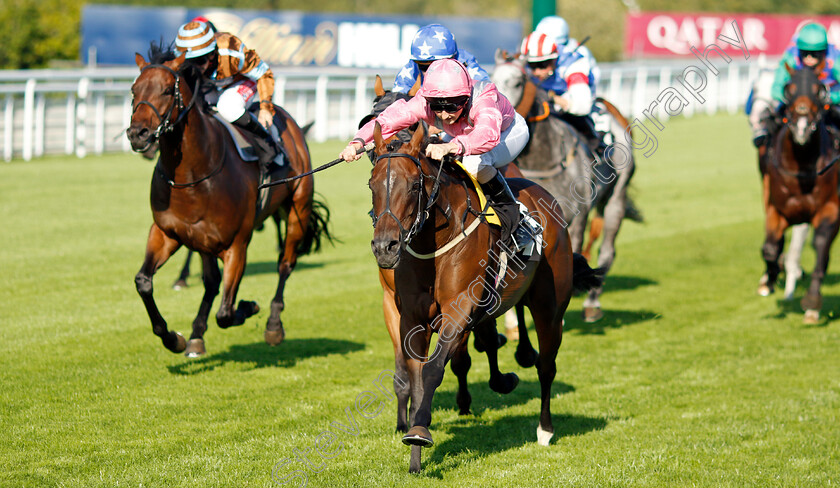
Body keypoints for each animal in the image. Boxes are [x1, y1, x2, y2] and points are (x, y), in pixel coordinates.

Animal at [128, 43, 332, 356]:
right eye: (133, 90)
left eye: (165, 90)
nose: (137, 133)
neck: (194, 175)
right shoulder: (167, 233)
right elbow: (144, 282)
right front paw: (175, 338)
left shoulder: (236, 244)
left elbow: (226, 312)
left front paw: (249, 307)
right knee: (212, 283)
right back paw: (196, 335)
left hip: (298, 209)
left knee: (285, 264)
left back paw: (273, 324)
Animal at [370, 120, 604, 470]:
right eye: (372, 184)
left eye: (413, 185)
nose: (385, 247)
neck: (435, 243)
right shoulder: (411, 318)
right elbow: (416, 377)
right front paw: (414, 451)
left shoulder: (458, 311)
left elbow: (433, 369)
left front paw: (420, 433)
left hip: (550, 308)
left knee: (546, 366)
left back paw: (545, 429)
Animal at [488, 50, 640, 324]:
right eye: (492, 79)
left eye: (517, 82)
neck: (544, 159)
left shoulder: (575, 218)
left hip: (616, 198)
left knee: (607, 251)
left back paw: (592, 303)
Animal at [760, 61, 840, 322]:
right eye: (789, 88)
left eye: (819, 89)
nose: (802, 126)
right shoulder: (777, 209)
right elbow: (770, 248)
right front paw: (770, 279)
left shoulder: (830, 208)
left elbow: (821, 245)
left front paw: (812, 301)